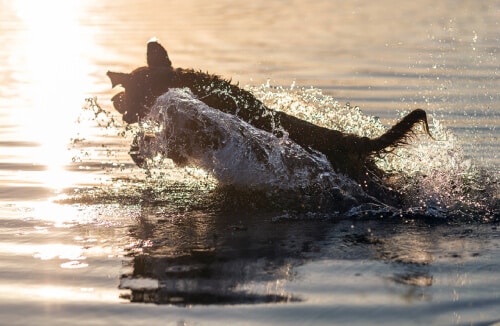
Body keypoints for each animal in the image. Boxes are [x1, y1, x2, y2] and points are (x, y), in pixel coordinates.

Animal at [106, 41, 434, 186]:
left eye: (130, 88)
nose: (113, 99)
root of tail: (353, 140)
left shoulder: (198, 135)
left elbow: (157, 144)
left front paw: (140, 152)